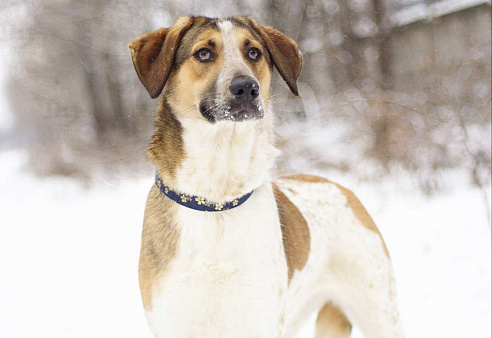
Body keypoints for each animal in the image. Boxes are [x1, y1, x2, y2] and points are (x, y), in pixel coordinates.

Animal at [130, 15, 404, 338]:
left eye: (254, 52)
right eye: (204, 53)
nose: (247, 87)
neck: (218, 199)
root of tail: (339, 187)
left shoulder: (259, 318)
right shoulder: (173, 318)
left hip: (377, 309)